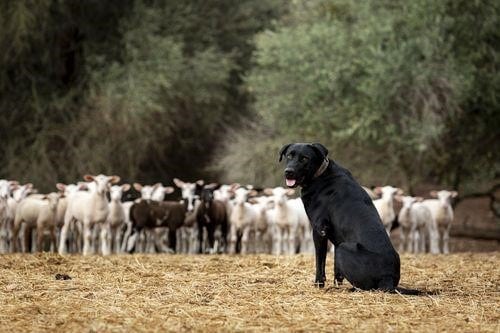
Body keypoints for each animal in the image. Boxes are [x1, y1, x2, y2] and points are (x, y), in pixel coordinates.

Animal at [280, 143, 420, 294]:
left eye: (305, 158)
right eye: (289, 155)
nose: (288, 172)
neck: (320, 175)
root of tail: (387, 278)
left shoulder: (319, 230)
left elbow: (320, 262)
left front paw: (319, 284)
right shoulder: (335, 238)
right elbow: (336, 268)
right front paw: (337, 284)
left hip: (344, 247)